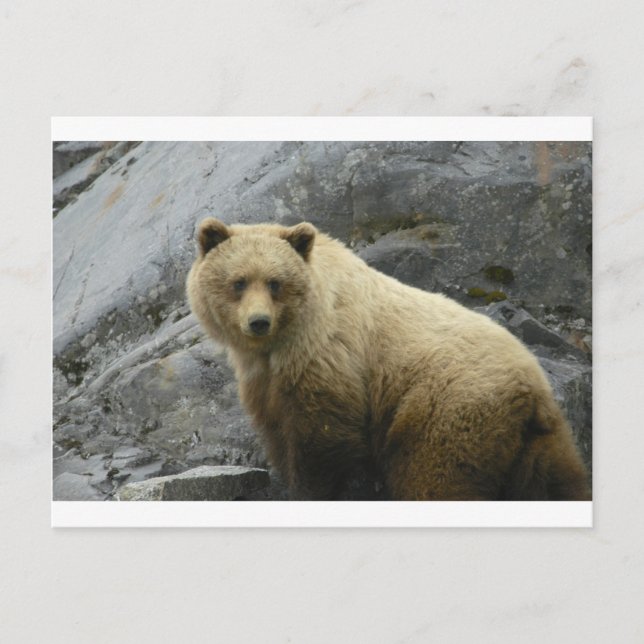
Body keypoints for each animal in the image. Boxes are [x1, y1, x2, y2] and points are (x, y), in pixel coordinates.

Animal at [187, 217, 590, 501]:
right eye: (239, 282)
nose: (258, 321)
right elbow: (277, 428)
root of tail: (530, 389)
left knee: (435, 479)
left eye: (275, 282)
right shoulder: (265, 378)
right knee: (557, 483)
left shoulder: (328, 357)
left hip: (446, 410)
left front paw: (309, 490)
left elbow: (320, 440)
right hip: (540, 442)